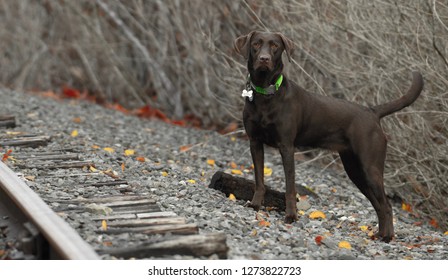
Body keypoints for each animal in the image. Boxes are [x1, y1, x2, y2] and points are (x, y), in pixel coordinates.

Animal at [234, 30, 424, 241]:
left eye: (275, 46)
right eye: (256, 44)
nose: (264, 59)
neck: (265, 95)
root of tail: (372, 112)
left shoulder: (287, 147)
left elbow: (290, 188)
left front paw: (291, 216)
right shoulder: (255, 143)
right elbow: (259, 181)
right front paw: (255, 205)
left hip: (370, 168)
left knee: (387, 205)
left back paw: (387, 237)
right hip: (355, 170)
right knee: (379, 205)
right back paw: (379, 235)